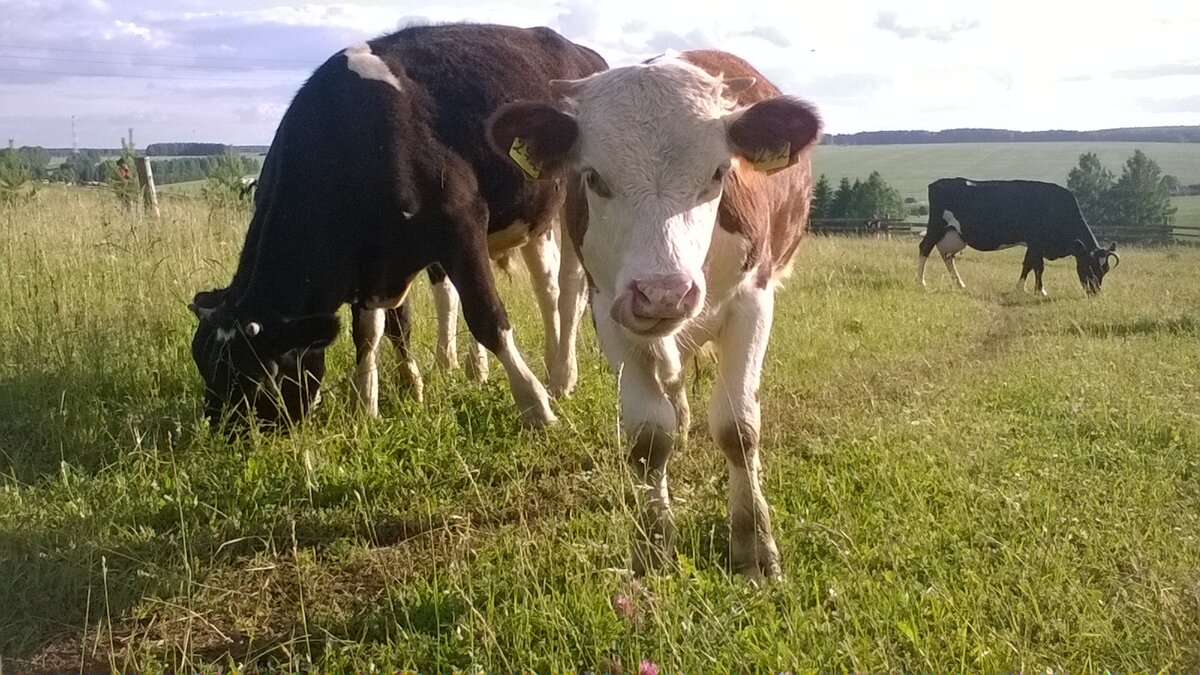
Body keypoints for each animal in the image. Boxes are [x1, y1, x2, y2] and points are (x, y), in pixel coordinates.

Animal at [188, 24, 604, 429]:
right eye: (205, 367)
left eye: (258, 378)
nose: (222, 435)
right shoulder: (371, 264)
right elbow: (369, 333)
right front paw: (365, 407)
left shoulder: (462, 223)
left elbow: (487, 316)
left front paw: (536, 407)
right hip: (533, 215)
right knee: (545, 286)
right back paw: (539, 367)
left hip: (574, 200)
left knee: (569, 288)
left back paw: (561, 377)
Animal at [484, 49, 816, 578]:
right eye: (593, 178)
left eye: (719, 173)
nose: (664, 294)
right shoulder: (609, 310)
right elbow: (648, 437)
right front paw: (654, 545)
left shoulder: (753, 301)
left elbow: (738, 427)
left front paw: (754, 547)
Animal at [912, 177, 1118, 295]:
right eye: (1090, 266)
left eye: (1105, 269)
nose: (1095, 291)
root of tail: (937, 183)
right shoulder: (1036, 241)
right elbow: (1038, 266)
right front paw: (1039, 291)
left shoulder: (1032, 244)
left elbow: (1028, 265)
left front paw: (1023, 288)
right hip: (937, 226)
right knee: (924, 249)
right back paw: (920, 282)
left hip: (953, 235)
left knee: (947, 256)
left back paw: (960, 284)